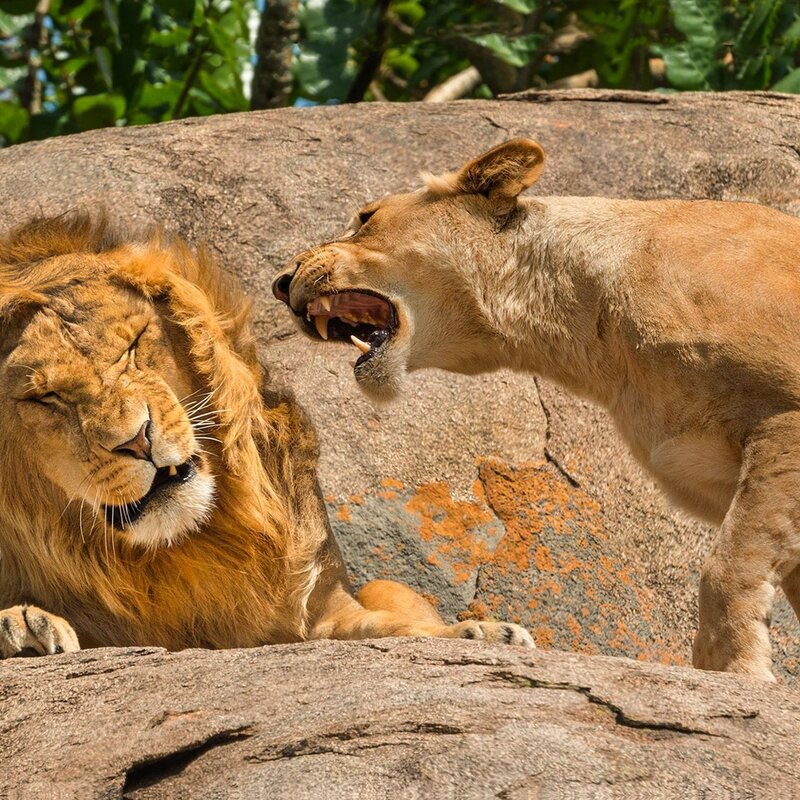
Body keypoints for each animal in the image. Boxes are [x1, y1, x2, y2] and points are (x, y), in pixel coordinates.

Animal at [0, 212, 534, 659]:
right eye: (45, 398)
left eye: (132, 346)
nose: (138, 440)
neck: (187, 544)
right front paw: (24, 624)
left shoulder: (316, 608)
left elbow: (389, 627)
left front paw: (478, 633)